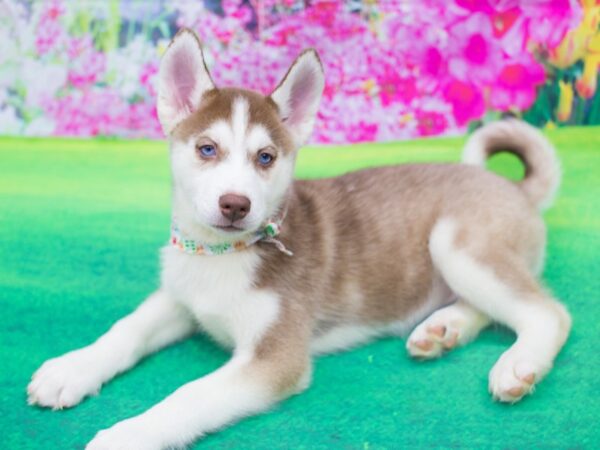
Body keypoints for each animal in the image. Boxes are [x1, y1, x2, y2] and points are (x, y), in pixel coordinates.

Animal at [29, 29, 572, 448]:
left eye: (265, 158)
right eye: (207, 149)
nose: (235, 204)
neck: (219, 256)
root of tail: (513, 187)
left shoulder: (275, 357)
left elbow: (189, 395)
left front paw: (129, 432)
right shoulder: (180, 298)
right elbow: (126, 329)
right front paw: (72, 369)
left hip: (454, 243)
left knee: (548, 311)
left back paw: (519, 362)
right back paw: (443, 330)